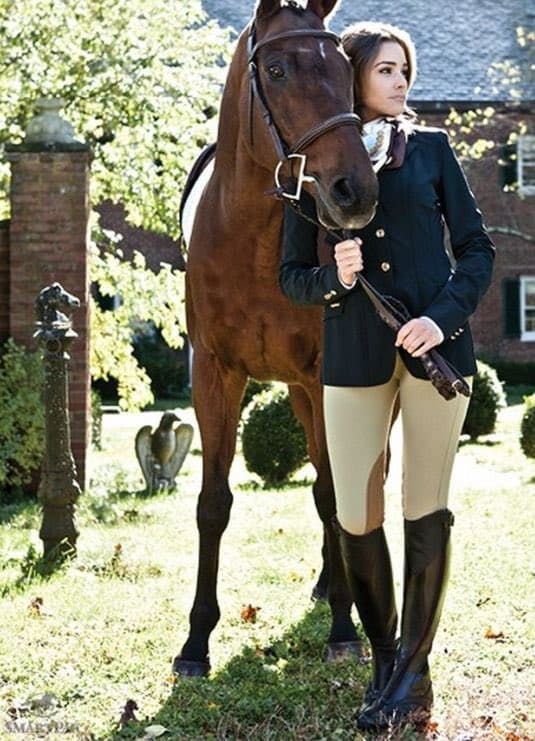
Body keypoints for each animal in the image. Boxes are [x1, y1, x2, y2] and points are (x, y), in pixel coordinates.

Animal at [174, 0, 378, 677]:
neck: (251, 239)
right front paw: (195, 642)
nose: (355, 191)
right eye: (278, 69)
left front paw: (344, 626)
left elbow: (331, 495)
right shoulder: (213, 376)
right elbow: (212, 503)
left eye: (343, 67)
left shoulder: (321, 380)